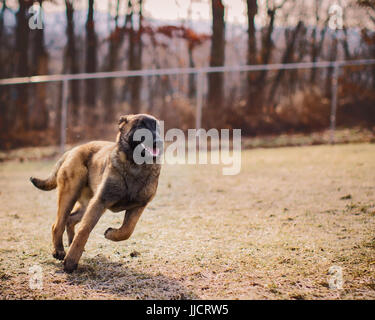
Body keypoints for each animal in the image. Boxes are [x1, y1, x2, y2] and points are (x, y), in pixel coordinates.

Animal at [30, 114, 163, 272]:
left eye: (157, 127)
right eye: (140, 126)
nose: (158, 142)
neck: (135, 166)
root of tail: (72, 150)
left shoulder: (138, 206)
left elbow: (127, 230)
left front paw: (111, 233)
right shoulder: (100, 202)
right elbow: (84, 230)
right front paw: (71, 261)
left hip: (86, 205)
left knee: (70, 220)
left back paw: (70, 244)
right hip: (70, 195)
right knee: (58, 225)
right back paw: (59, 251)